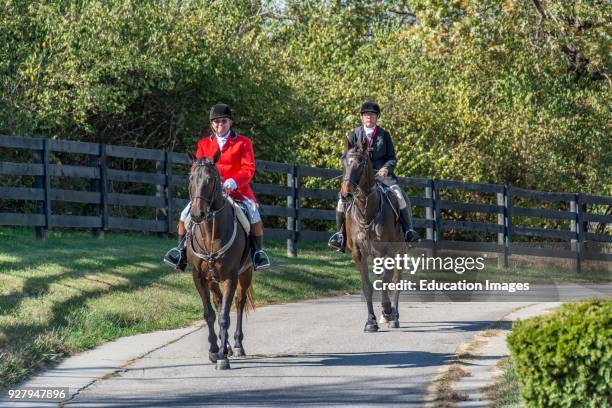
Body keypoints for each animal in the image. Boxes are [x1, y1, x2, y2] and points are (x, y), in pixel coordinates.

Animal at [186, 150, 253, 370]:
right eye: (191, 178)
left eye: (211, 179)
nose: (197, 214)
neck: (210, 233)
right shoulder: (199, 277)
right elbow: (210, 313)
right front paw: (215, 350)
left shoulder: (231, 277)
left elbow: (224, 316)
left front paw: (222, 357)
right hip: (213, 279)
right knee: (218, 303)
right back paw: (227, 346)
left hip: (245, 274)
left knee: (239, 304)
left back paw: (237, 345)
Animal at [340, 137, 406, 332]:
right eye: (343, 162)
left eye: (360, 164)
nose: (345, 194)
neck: (367, 211)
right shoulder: (359, 253)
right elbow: (367, 286)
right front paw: (371, 321)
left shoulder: (390, 252)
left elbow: (386, 281)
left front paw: (387, 311)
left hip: (400, 252)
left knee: (396, 281)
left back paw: (394, 316)